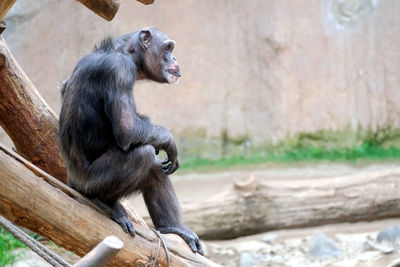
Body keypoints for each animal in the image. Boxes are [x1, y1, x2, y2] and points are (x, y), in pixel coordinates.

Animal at [58, 27, 203, 255]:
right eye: (168, 48)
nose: (174, 58)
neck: (126, 53)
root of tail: (72, 181)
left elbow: (64, 87)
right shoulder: (119, 71)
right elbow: (128, 128)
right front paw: (169, 141)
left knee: (154, 168)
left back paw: (172, 228)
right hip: (90, 181)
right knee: (143, 154)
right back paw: (105, 202)